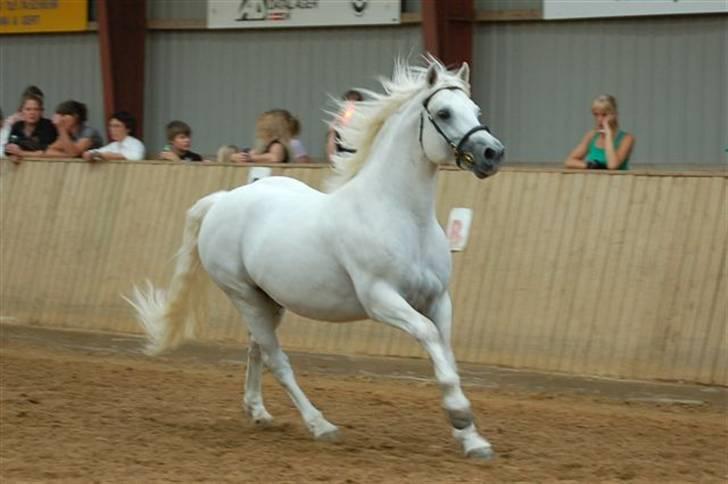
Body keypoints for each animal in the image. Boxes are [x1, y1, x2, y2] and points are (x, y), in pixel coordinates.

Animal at [126, 58, 506, 460]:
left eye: (476, 111)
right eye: (444, 112)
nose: (492, 153)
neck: (402, 216)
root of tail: (223, 200)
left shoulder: (438, 299)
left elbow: (446, 354)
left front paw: (474, 441)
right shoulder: (381, 300)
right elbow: (431, 339)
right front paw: (460, 417)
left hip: (267, 300)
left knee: (257, 349)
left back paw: (258, 412)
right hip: (242, 294)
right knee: (278, 360)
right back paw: (320, 425)